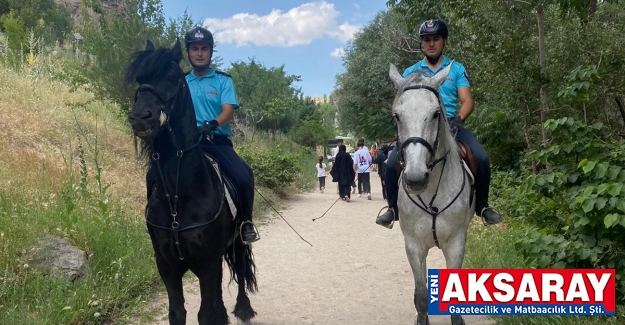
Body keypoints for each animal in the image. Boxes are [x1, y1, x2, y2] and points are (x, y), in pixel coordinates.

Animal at [126, 38, 256, 324]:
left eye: (172, 77)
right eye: (141, 79)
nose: (140, 118)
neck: (180, 195)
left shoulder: (206, 263)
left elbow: (205, 314)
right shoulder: (167, 266)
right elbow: (177, 312)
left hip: (238, 243)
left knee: (241, 270)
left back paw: (243, 308)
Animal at [390, 63, 472, 324]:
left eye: (436, 113)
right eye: (397, 115)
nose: (416, 179)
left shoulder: (456, 243)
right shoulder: (413, 245)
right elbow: (421, 297)